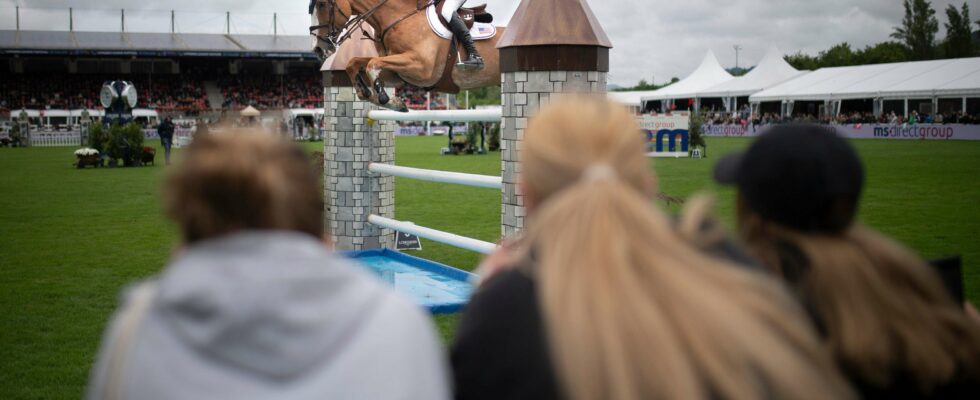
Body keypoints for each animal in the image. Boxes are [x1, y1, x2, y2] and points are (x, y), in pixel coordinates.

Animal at [310, 0, 506, 111]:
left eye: (321, 4)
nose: (318, 49)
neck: (398, 18)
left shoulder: (422, 69)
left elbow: (372, 64)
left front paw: (384, 97)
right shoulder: (397, 72)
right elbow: (354, 63)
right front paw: (376, 96)